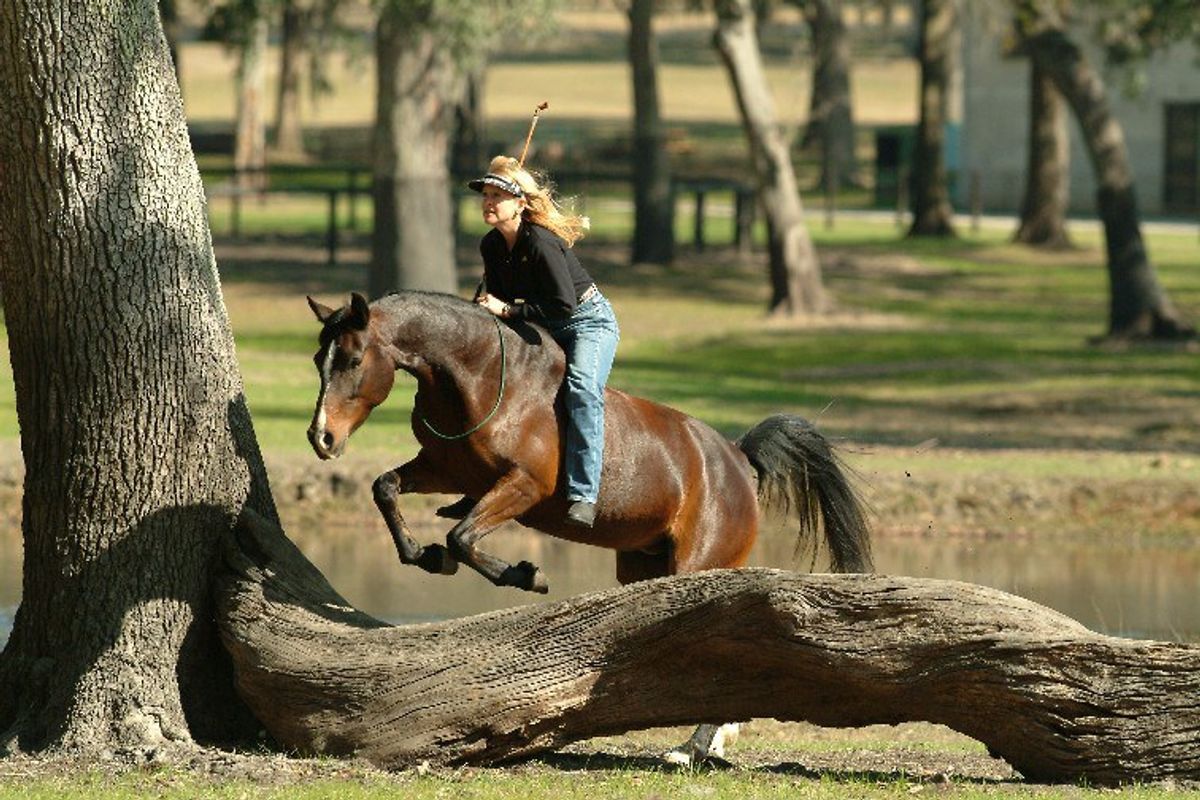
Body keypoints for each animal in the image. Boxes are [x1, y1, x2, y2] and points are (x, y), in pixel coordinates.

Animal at [309, 292, 873, 762]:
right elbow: (385, 488)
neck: (479, 377)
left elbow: (462, 537)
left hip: (699, 564)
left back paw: (693, 747)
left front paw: (526, 574)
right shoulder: (443, 470)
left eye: (353, 360)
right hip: (644, 567)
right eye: (320, 361)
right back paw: (708, 738)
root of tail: (736, 458)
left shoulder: (524, 487)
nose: (322, 438)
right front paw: (424, 556)